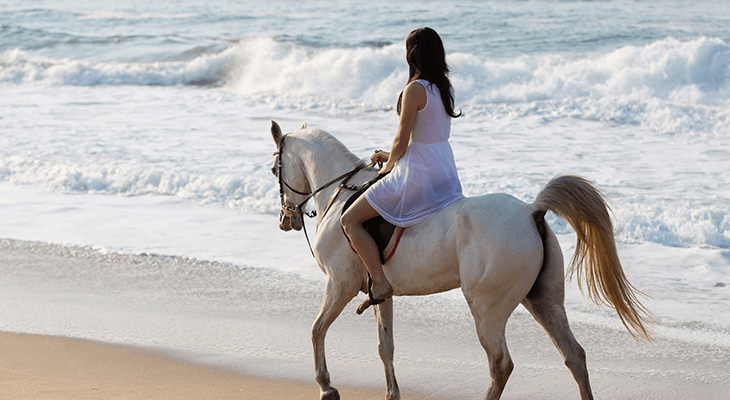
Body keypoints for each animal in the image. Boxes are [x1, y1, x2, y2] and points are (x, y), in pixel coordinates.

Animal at [268, 121, 652, 400]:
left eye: (274, 169)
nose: (286, 220)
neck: (341, 193)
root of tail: (531, 211)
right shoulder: (380, 293)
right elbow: (385, 346)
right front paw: (392, 393)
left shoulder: (340, 284)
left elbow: (317, 329)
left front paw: (325, 386)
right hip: (543, 300)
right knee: (574, 356)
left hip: (487, 308)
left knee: (501, 365)